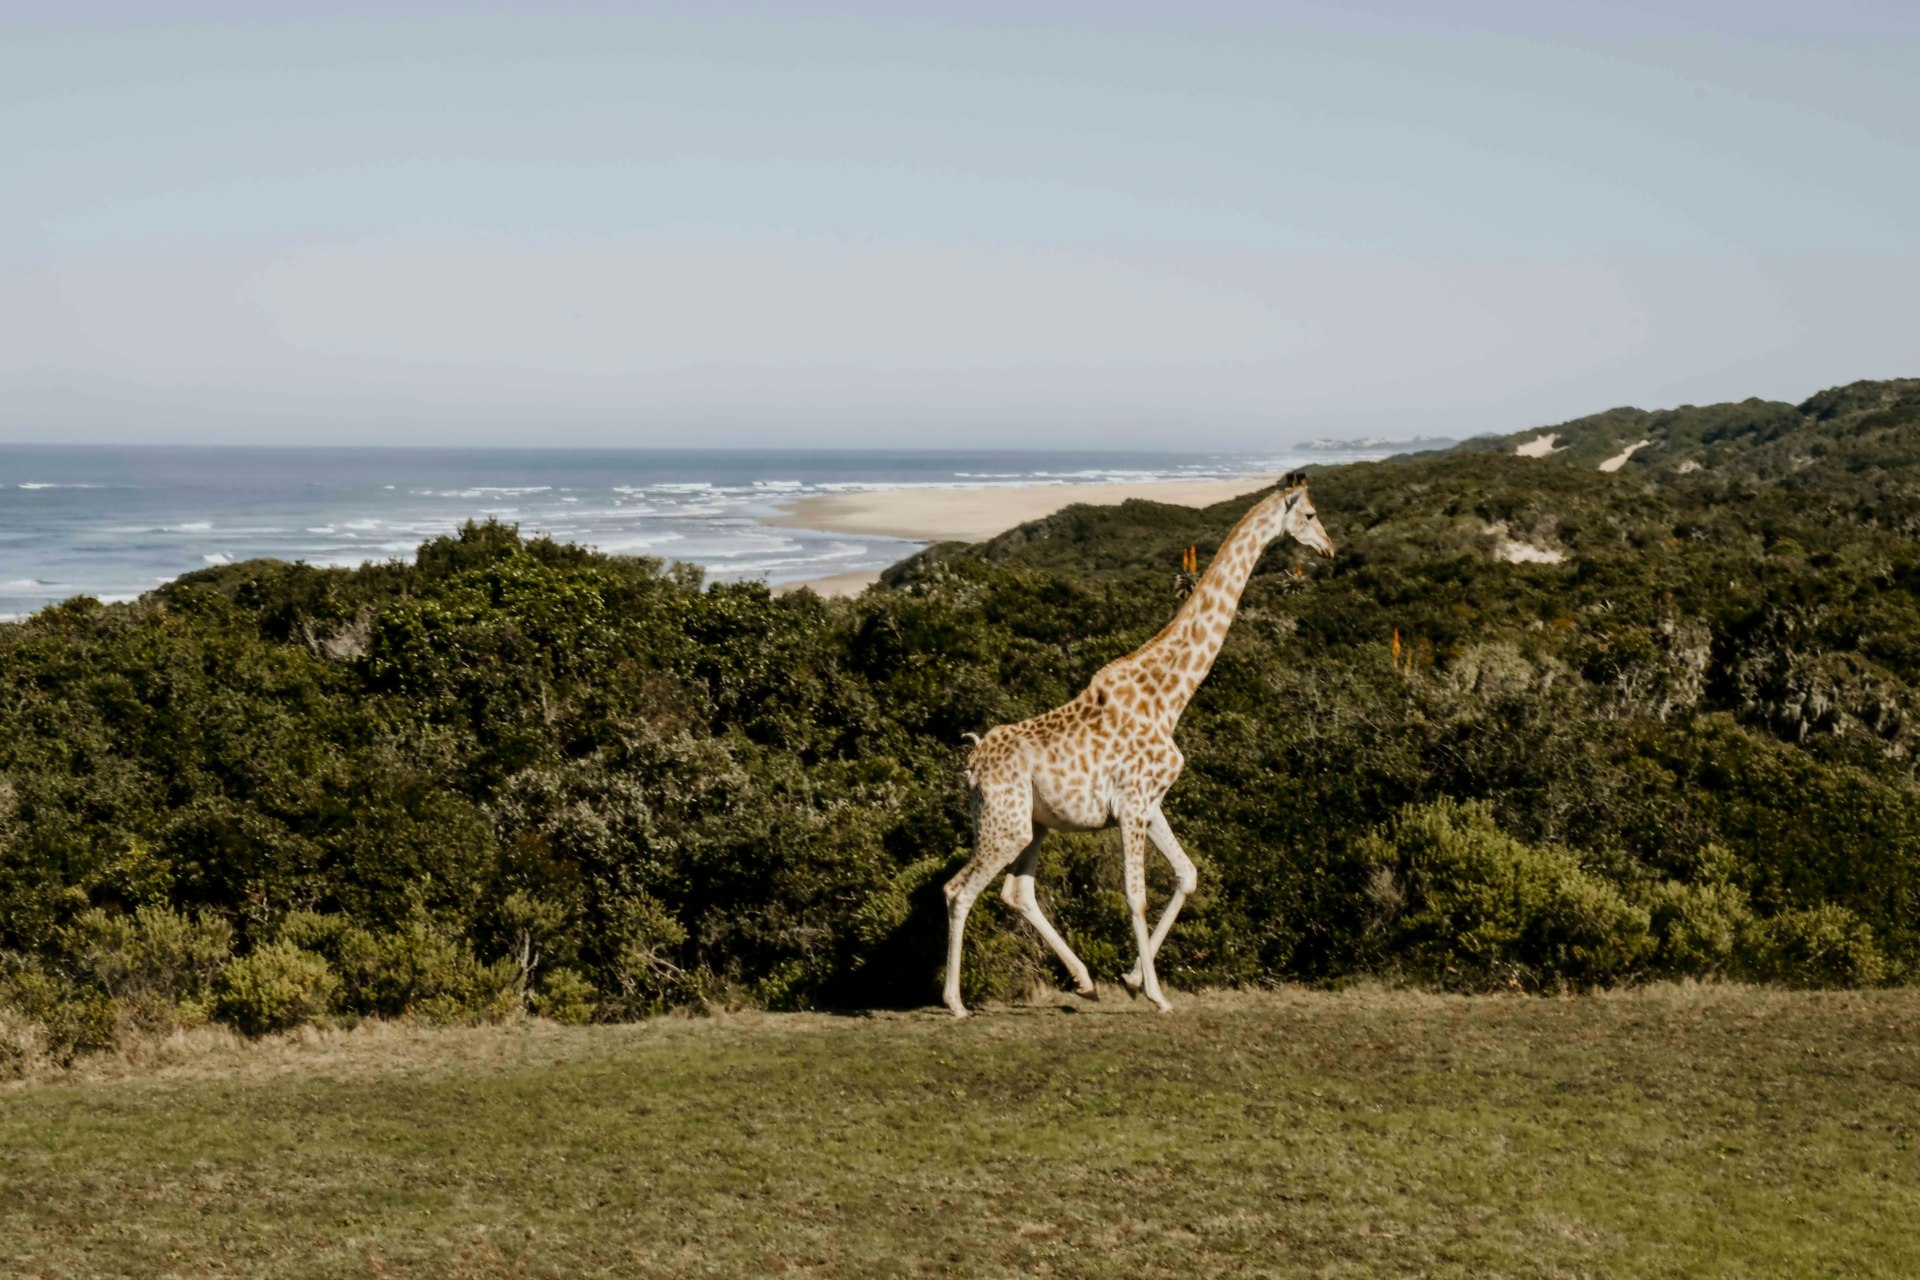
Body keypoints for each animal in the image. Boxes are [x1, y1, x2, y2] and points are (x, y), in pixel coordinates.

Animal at [941, 473, 1335, 1017]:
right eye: (1311, 515)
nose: (1330, 548)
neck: (1170, 696)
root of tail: (972, 764)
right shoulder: (1130, 804)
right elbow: (1135, 895)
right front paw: (1156, 994)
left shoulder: (1150, 801)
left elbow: (1187, 874)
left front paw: (1130, 979)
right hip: (1004, 826)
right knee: (958, 890)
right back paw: (956, 1003)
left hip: (1030, 825)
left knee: (1017, 892)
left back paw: (1085, 981)